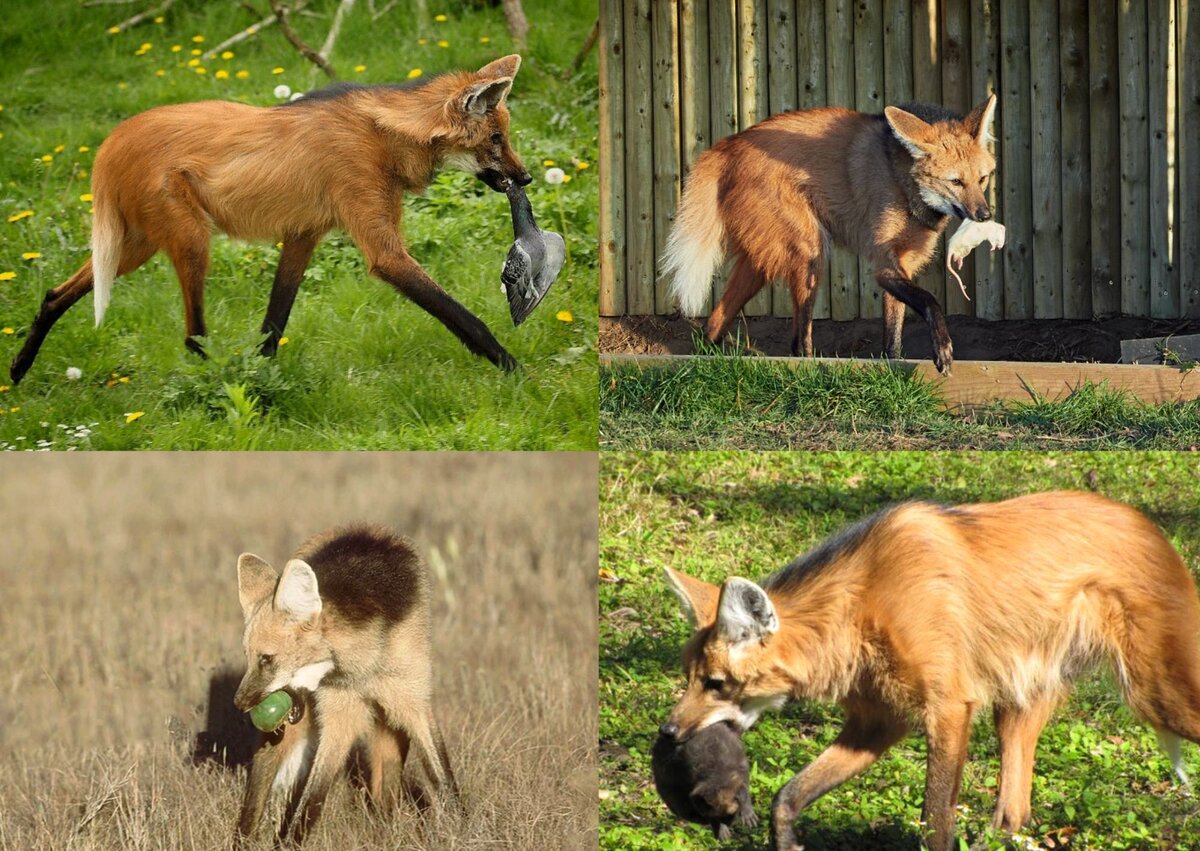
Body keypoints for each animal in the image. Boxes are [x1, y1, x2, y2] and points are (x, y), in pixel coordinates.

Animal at [11, 55, 530, 381]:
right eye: (497, 140)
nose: (524, 177)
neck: (387, 134)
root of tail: (111, 141)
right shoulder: (382, 250)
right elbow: (466, 318)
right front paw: (518, 371)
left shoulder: (303, 235)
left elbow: (274, 322)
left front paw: (261, 382)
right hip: (189, 239)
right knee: (192, 336)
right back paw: (213, 381)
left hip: (136, 244)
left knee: (55, 294)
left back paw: (18, 369)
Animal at [235, 523, 458, 844]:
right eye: (249, 658)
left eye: (267, 659)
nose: (239, 703)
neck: (362, 668)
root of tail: (365, 527)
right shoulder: (340, 715)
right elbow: (311, 800)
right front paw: (288, 842)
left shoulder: (411, 700)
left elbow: (444, 778)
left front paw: (464, 829)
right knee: (257, 794)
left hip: (389, 715)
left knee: (387, 777)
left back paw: (384, 825)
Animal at [662, 94, 998, 374]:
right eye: (956, 182)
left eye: (982, 179)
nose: (985, 215)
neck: (902, 183)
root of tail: (728, 143)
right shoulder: (885, 264)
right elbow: (929, 301)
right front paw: (942, 349)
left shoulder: (905, 262)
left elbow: (893, 338)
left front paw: (894, 366)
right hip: (811, 252)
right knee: (798, 343)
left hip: (761, 265)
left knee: (716, 320)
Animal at [662, 492, 1200, 849]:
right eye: (690, 678)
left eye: (716, 684)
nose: (668, 731)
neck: (860, 606)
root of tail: (1152, 529)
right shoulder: (879, 721)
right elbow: (787, 797)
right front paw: (787, 840)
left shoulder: (948, 707)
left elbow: (934, 819)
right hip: (1018, 702)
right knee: (1014, 812)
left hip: (1159, 693)